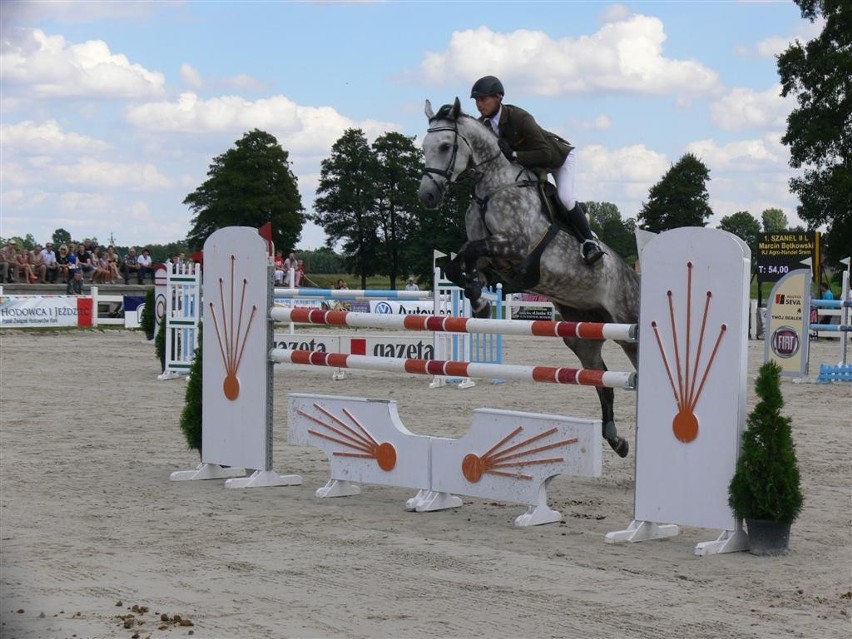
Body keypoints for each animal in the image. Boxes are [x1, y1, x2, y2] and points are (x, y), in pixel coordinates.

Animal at [416, 99, 644, 460]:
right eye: (424, 147)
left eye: (446, 146)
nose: (427, 196)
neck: (491, 187)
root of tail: (630, 274)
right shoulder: (494, 256)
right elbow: (458, 265)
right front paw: (478, 301)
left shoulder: (515, 246)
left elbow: (469, 254)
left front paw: (479, 300)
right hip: (581, 334)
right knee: (602, 383)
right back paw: (616, 440)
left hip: (627, 326)